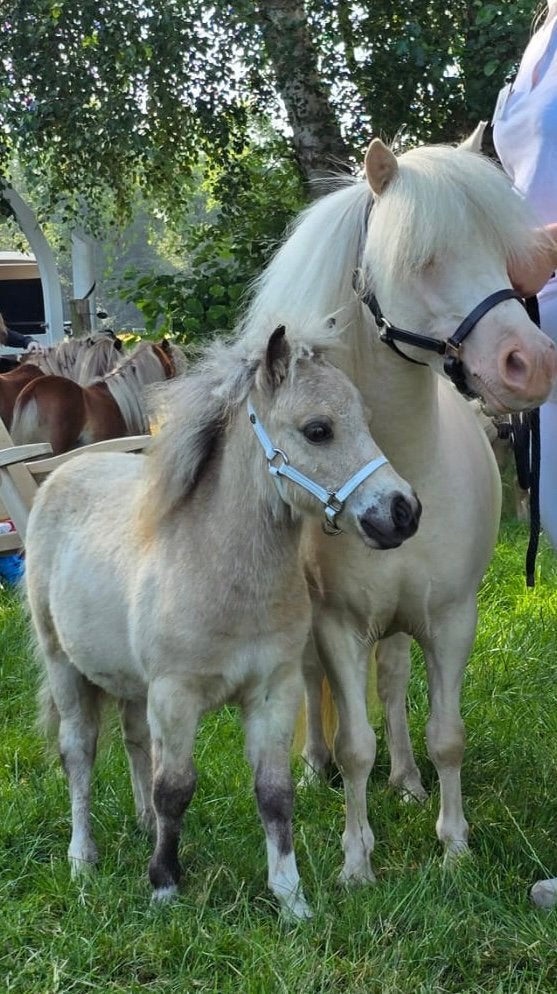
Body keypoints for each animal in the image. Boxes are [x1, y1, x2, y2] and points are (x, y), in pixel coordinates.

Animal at [236, 138, 557, 885]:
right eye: (422, 258)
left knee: (391, 683)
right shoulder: (338, 624)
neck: (405, 463)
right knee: (319, 690)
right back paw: (314, 767)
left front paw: (454, 845)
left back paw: (407, 781)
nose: (530, 364)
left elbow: (446, 736)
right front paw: (356, 861)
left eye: (502, 255)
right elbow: (355, 742)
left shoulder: (450, 618)